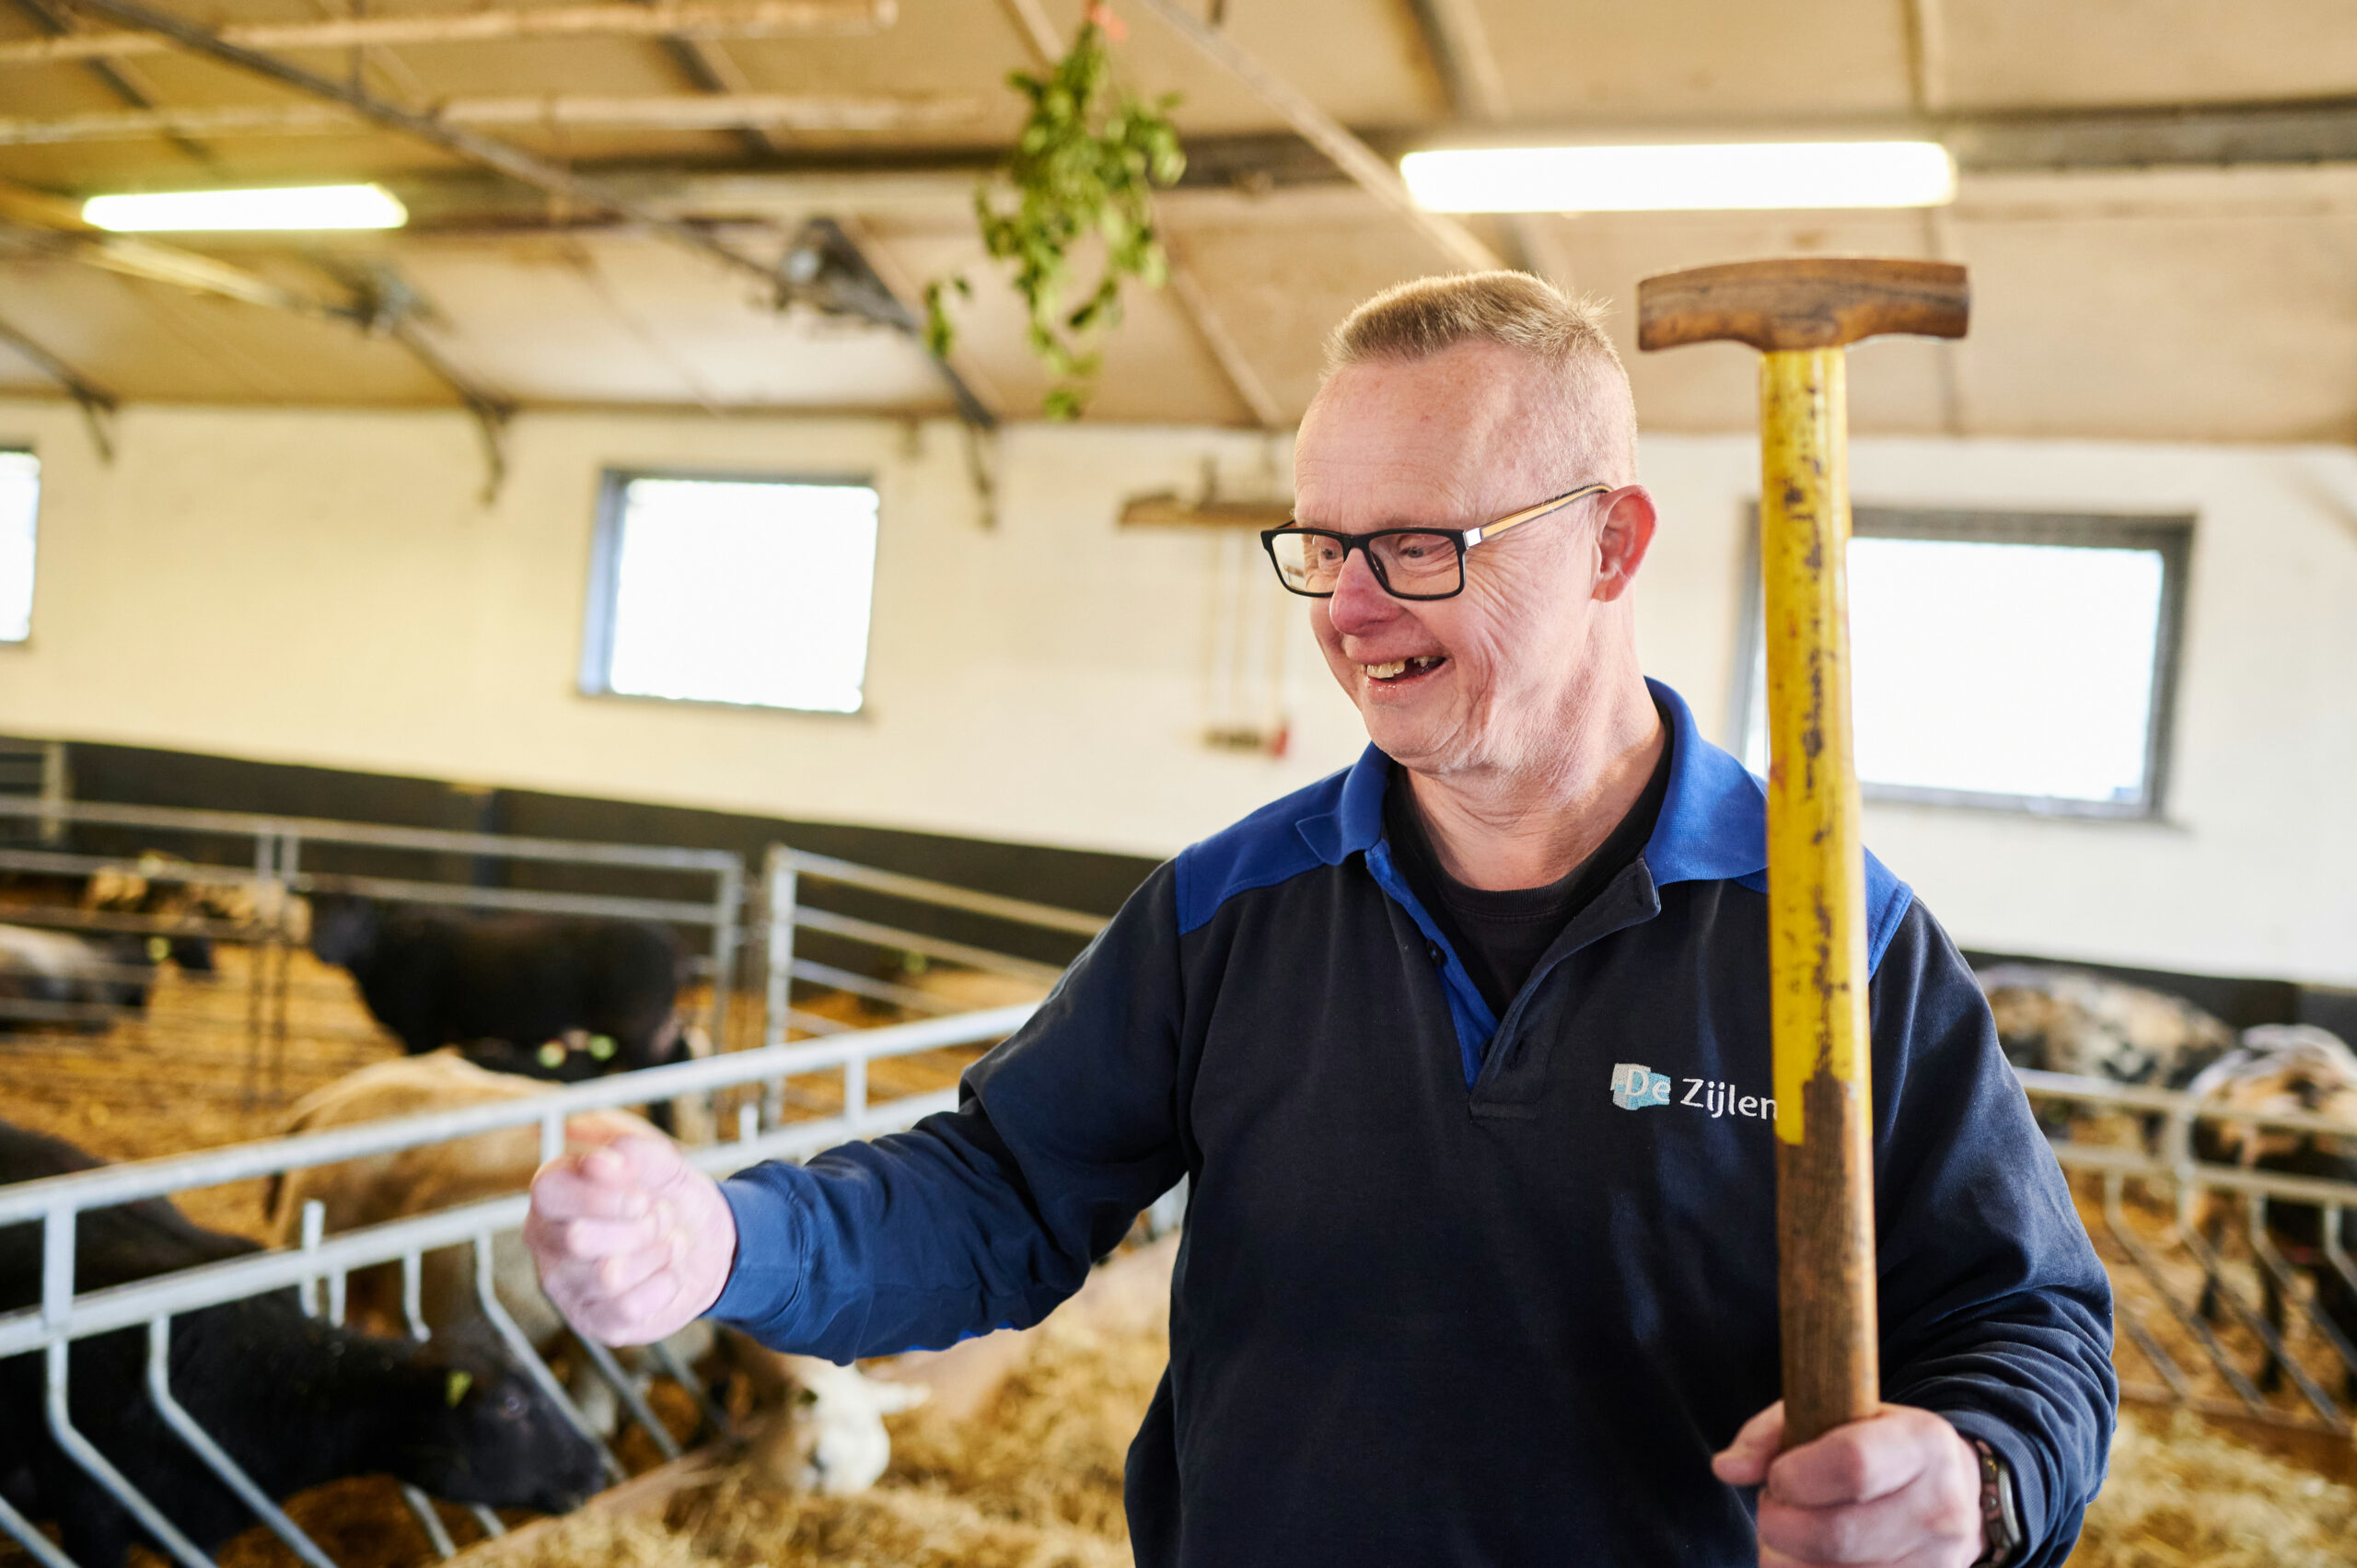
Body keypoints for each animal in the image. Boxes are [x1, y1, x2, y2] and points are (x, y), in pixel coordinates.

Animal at [2177, 1028, 2357, 1396]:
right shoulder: (2262, 1245)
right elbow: (2275, 1315)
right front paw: (2269, 1378)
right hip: (2216, 1191)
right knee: (2213, 1244)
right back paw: (2208, 1306)